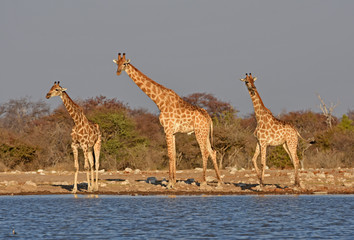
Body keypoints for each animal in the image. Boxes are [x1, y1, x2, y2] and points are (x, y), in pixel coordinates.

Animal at [112, 52, 221, 188]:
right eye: (117, 64)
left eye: (125, 64)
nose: (118, 72)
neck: (160, 102)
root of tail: (208, 118)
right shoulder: (172, 132)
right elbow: (173, 154)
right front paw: (173, 181)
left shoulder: (167, 129)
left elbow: (169, 155)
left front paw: (169, 183)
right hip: (205, 133)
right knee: (213, 151)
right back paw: (219, 182)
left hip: (199, 132)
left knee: (205, 152)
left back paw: (204, 182)